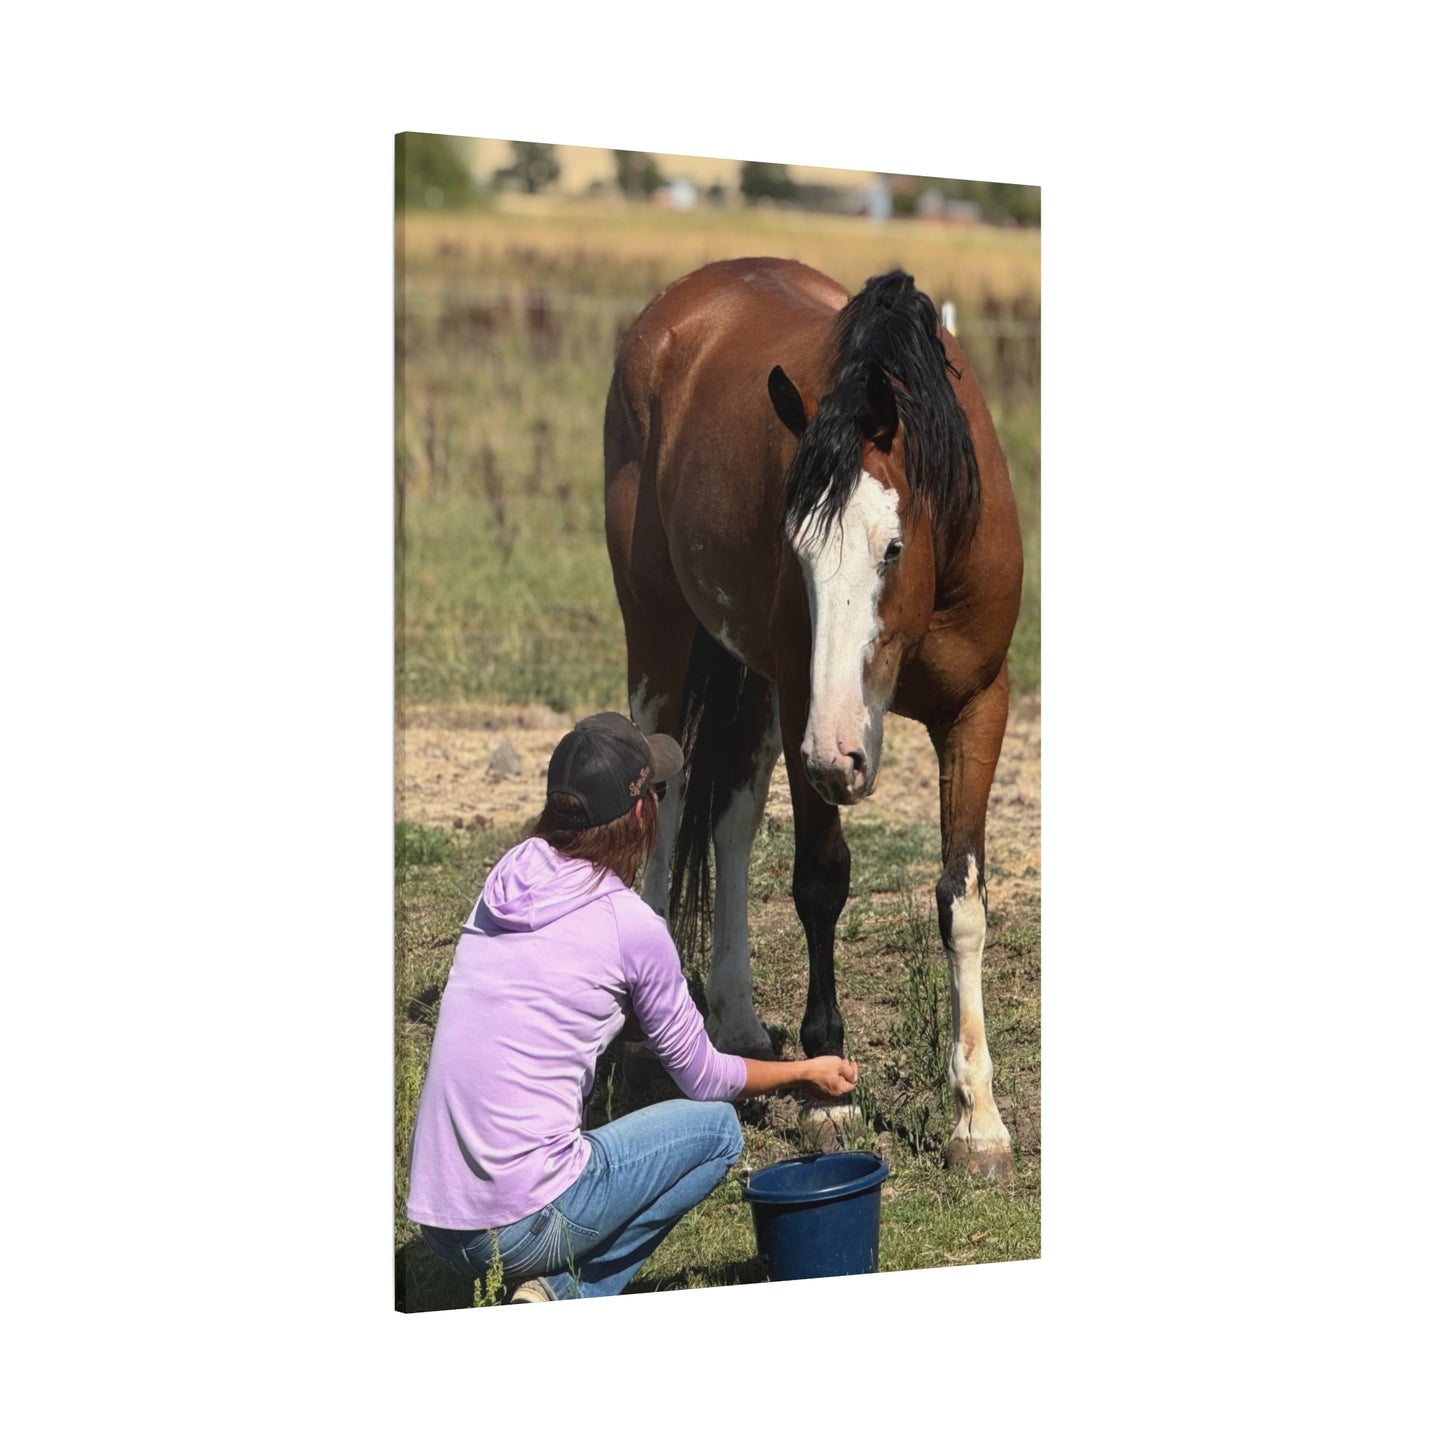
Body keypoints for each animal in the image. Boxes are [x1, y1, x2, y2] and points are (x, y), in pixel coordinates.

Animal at [603, 258, 1023, 1177]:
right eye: (793, 547)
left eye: (891, 547)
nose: (840, 759)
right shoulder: (806, 704)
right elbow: (821, 881)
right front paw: (830, 1094)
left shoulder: (977, 708)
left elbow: (961, 898)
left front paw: (977, 1119)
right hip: (659, 630)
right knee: (667, 800)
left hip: (755, 687)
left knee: (731, 818)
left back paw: (734, 1019)